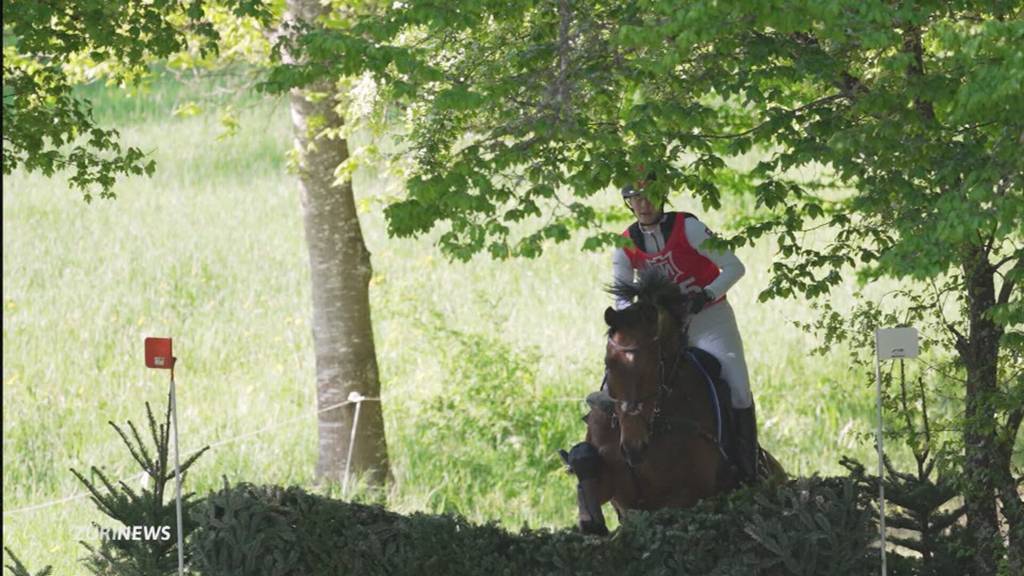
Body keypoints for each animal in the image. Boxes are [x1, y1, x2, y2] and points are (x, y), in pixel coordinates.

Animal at [561, 269, 782, 535]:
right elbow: (591, 475)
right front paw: (590, 520)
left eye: (656, 365)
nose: (634, 448)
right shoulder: (621, 495)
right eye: (608, 364)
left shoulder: (685, 496)